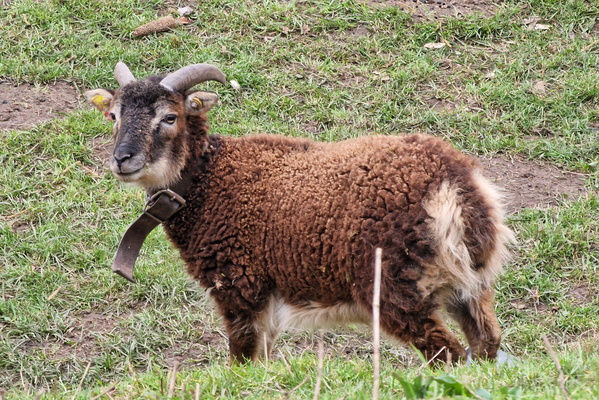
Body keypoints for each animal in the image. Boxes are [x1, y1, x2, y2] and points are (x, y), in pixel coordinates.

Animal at [85, 62, 516, 366]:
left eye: (169, 117)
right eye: (114, 116)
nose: (122, 159)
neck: (208, 178)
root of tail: (453, 184)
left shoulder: (241, 287)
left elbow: (243, 361)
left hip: (396, 289)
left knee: (448, 354)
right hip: (468, 285)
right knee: (486, 343)